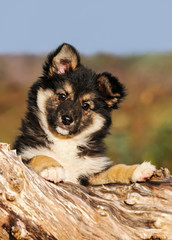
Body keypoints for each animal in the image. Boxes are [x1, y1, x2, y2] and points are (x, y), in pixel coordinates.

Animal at [13, 43, 156, 186]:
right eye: (62, 96)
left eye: (85, 105)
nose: (66, 119)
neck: (65, 141)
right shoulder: (23, 154)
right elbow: (40, 156)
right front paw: (53, 168)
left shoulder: (90, 174)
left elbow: (114, 169)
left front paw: (138, 169)